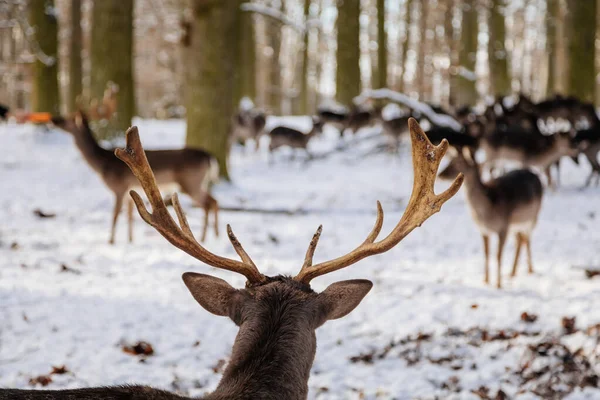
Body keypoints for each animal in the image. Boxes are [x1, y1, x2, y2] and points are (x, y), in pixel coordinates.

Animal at [51, 111, 219, 244]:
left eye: (68, 118)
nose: (54, 119)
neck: (102, 164)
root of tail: (209, 157)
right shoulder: (129, 193)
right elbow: (130, 216)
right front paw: (130, 239)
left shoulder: (119, 188)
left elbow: (115, 215)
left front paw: (111, 240)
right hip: (198, 183)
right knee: (213, 201)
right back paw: (214, 234)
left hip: (190, 182)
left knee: (207, 203)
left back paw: (204, 237)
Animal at [440, 150, 544, 288]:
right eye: (450, 160)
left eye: (458, 162)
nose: (441, 174)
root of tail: (536, 176)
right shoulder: (484, 230)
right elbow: (486, 254)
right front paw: (486, 280)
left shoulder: (503, 227)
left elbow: (498, 255)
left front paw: (498, 284)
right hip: (515, 225)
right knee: (520, 240)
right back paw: (512, 272)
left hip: (532, 218)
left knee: (526, 239)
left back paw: (530, 270)